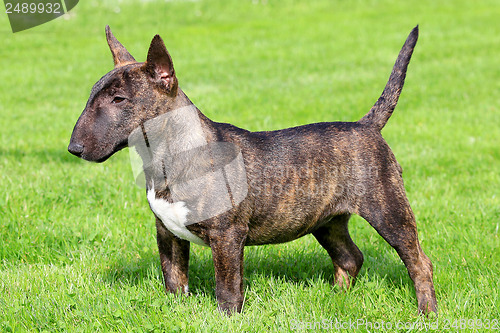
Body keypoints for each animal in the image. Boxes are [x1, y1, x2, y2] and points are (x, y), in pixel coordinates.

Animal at [68, 26, 436, 314]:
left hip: (388, 210)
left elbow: (227, 287)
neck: (170, 155)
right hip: (326, 220)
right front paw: (176, 312)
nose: (74, 149)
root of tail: (366, 126)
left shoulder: (227, 235)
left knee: (419, 261)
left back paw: (426, 312)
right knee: (350, 257)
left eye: (119, 99)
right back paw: (336, 299)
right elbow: (174, 279)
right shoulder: (167, 233)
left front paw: (227, 319)